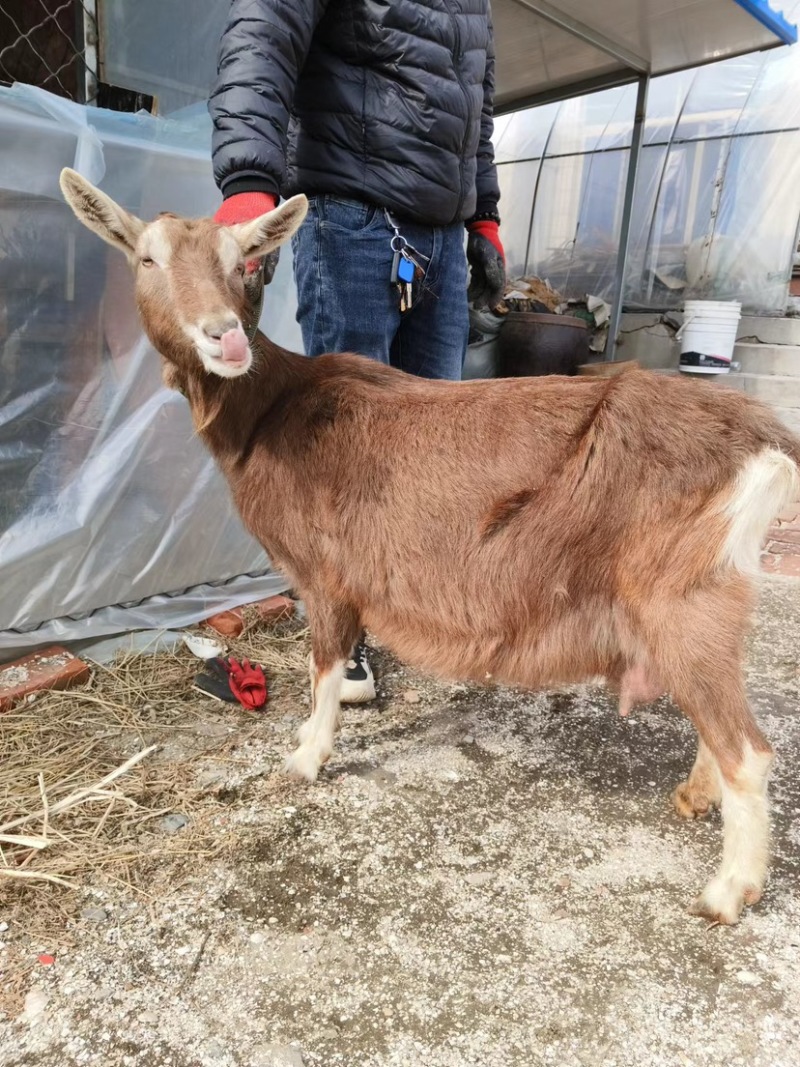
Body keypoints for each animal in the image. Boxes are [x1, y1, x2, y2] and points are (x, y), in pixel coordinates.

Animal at [61, 168, 800, 926]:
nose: (224, 338)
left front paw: (306, 758)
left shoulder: (328, 576)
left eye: (243, 261)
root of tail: (762, 437)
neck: (273, 408)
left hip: (678, 593)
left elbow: (323, 669)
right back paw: (696, 796)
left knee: (749, 748)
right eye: (147, 258)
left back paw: (728, 890)